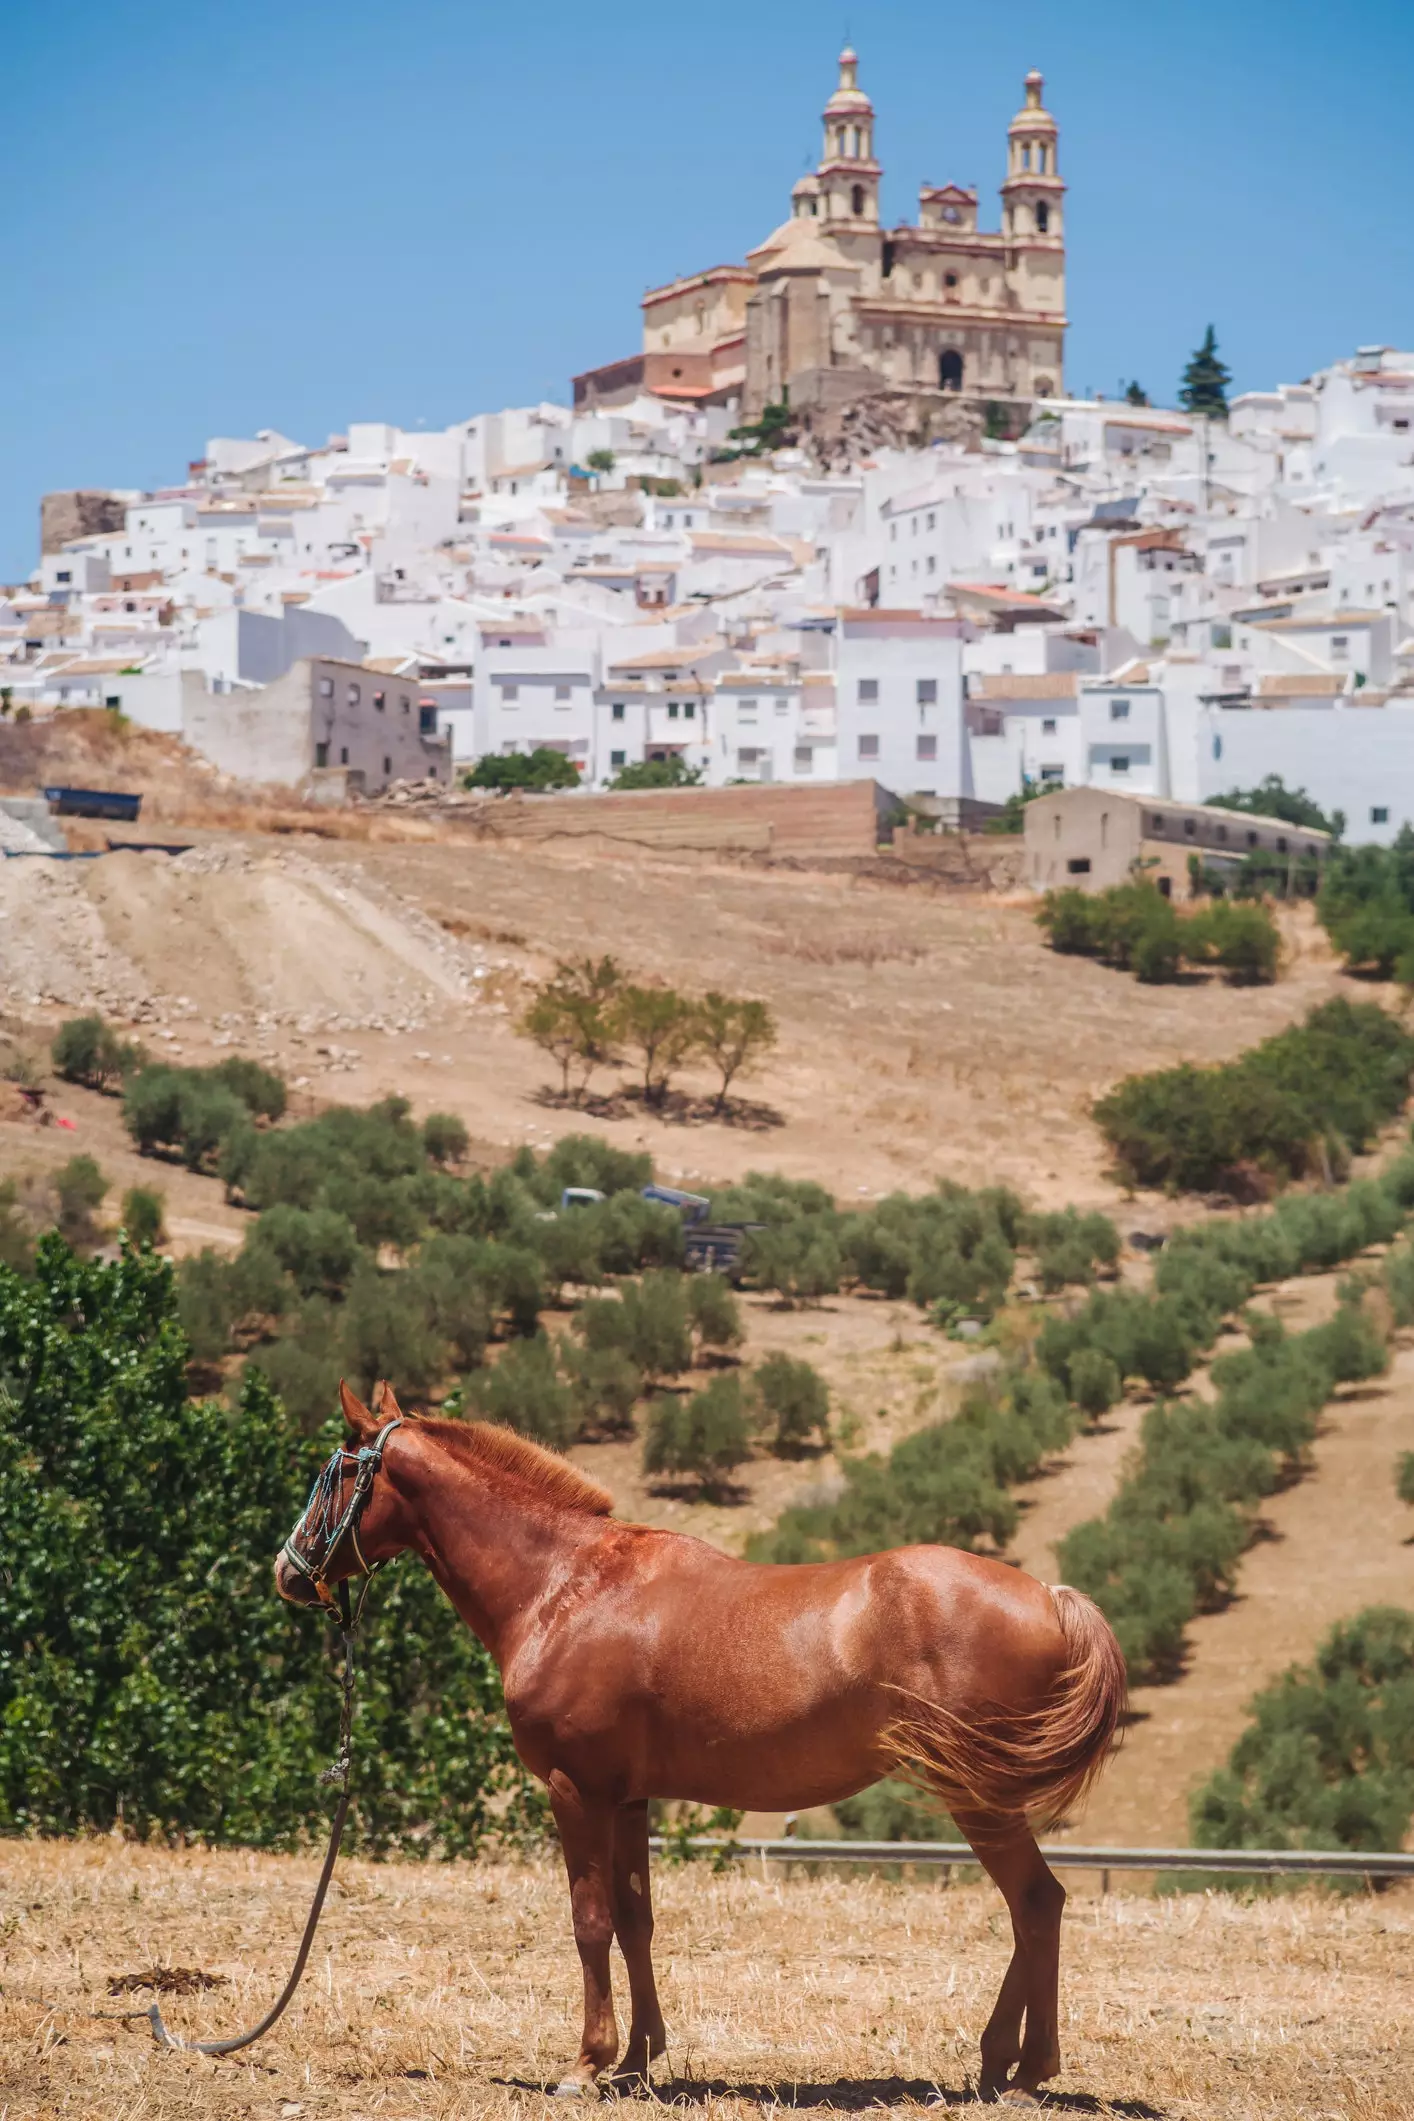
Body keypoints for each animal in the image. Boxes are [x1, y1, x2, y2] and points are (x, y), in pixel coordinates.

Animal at [275, 1391, 1127, 2104]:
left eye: (335, 1470)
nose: (288, 1568)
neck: (566, 1586)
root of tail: (1051, 1597)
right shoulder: (626, 1797)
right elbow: (634, 1919)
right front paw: (636, 2060)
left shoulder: (575, 1789)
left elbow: (589, 1920)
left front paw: (586, 2064)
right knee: (1032, 1908)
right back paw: (998, 2063)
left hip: (977, 1797)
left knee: (1035, 1903)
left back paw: (1025, 2070)